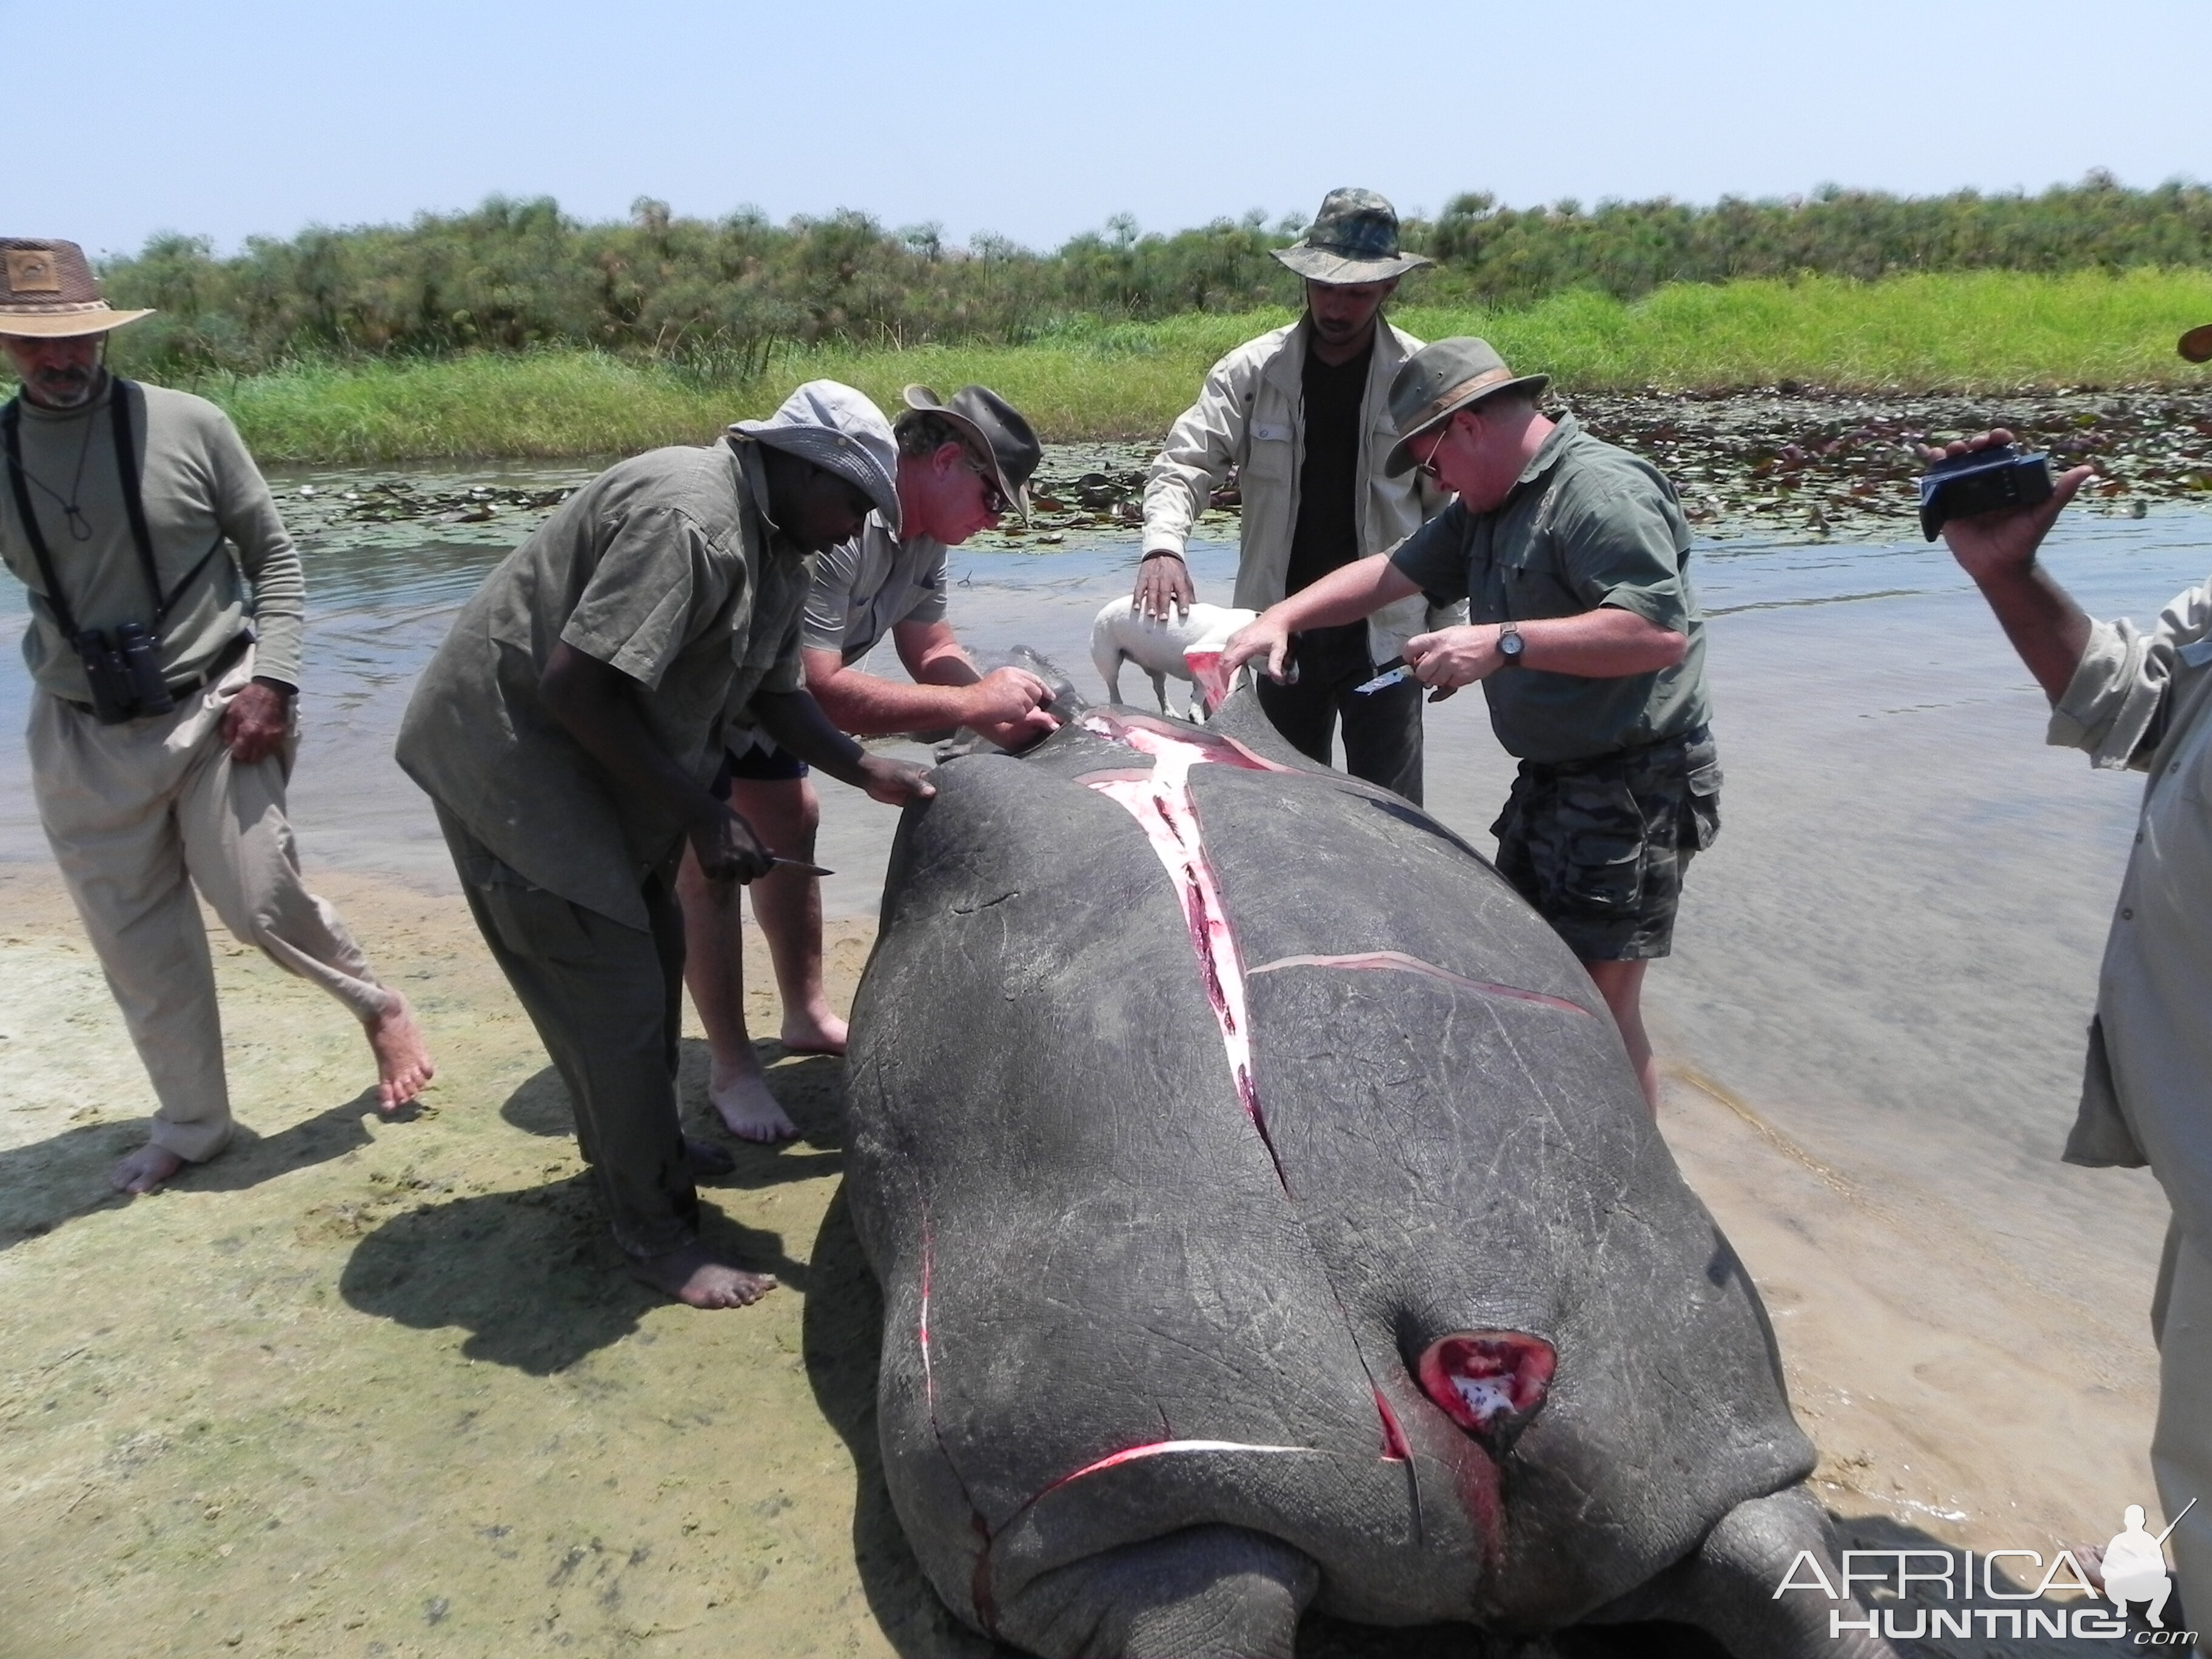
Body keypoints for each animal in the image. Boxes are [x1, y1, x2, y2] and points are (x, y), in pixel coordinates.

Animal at [1093, 602, 1265, 725]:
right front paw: (1197, 713)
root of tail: (1101, 612)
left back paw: (1170, 711)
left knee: (1160, 690)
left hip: (1156, 669)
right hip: (1109, 661)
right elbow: (1202, 687)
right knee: (1113, 687)